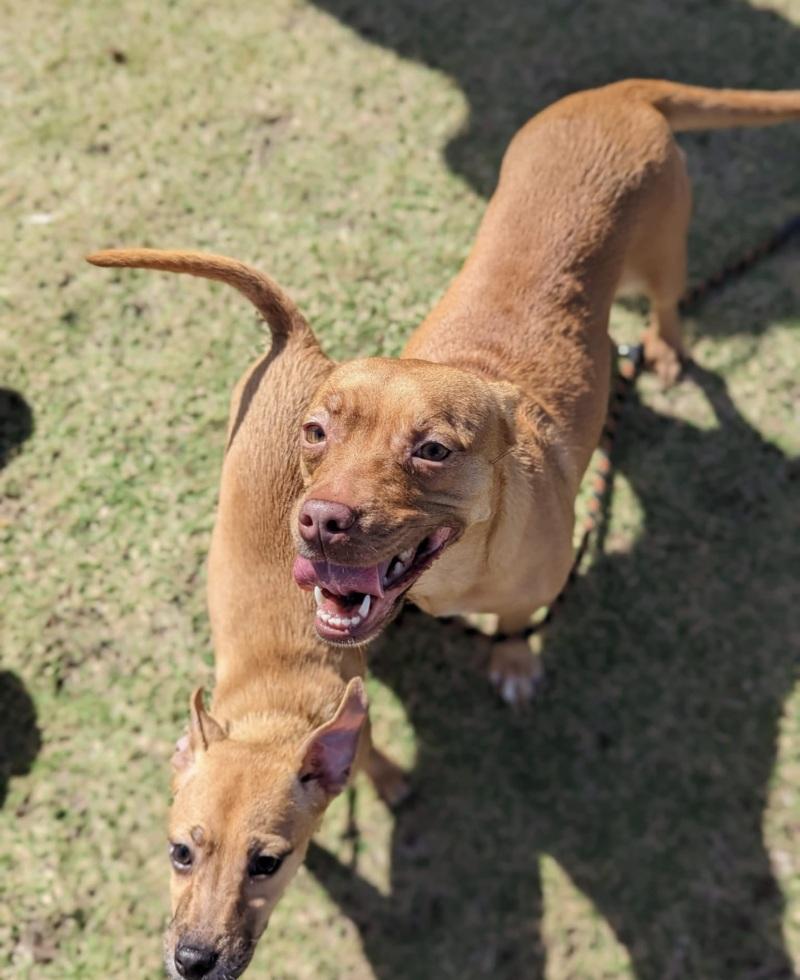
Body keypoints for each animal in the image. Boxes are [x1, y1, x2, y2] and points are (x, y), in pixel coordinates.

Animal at [89, 247, 406, 980]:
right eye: (180, 852)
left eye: (267, 863)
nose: (193, 961)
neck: (274, 708)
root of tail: (290, 342)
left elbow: (373, 755)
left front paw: (389, 782)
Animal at [290, 80, 800, 700]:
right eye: (315, 432)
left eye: (433, 450)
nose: (321, 520)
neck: (452, 575)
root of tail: (619, 92)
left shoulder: (535, 591)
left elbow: (514, 621)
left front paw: (512, 661)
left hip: (661, 256)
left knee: (670, 304)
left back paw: (664, 347)